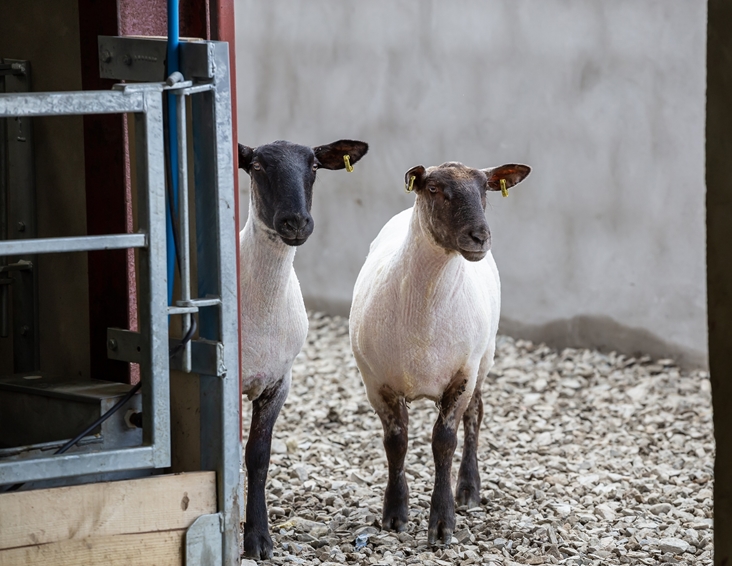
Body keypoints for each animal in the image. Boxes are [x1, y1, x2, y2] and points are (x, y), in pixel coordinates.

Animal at [239, 141, 368, 560]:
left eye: (313, 165)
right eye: (257, 165)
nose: (296, 222)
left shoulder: (280, 381)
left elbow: (258, 457)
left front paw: (259, 538)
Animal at [350, 160, 528, 544]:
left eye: (486, 189)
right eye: (434, 189)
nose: (480, 236)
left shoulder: (462, 376)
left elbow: (444, 443)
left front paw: (443, 522)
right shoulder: (376, 382)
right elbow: (396, 443)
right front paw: (395, 514)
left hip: (484, 359)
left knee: (475, 416)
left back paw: (468, 491)